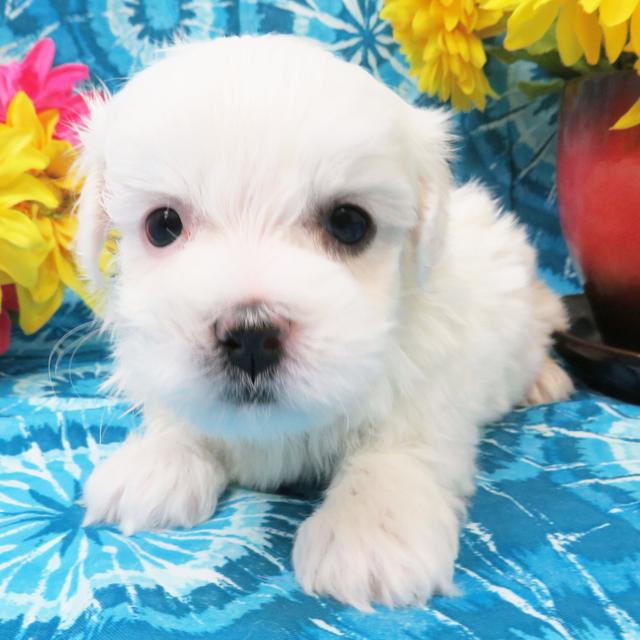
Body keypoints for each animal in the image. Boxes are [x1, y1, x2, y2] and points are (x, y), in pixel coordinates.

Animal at [76, 35, 576, 608]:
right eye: (163, 226)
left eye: (349, 223)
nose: (251, 337)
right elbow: (179, 412)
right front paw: (157, 461)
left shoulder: (428, 386)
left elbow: (397, 447)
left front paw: (369, 534)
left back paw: (544, 379)